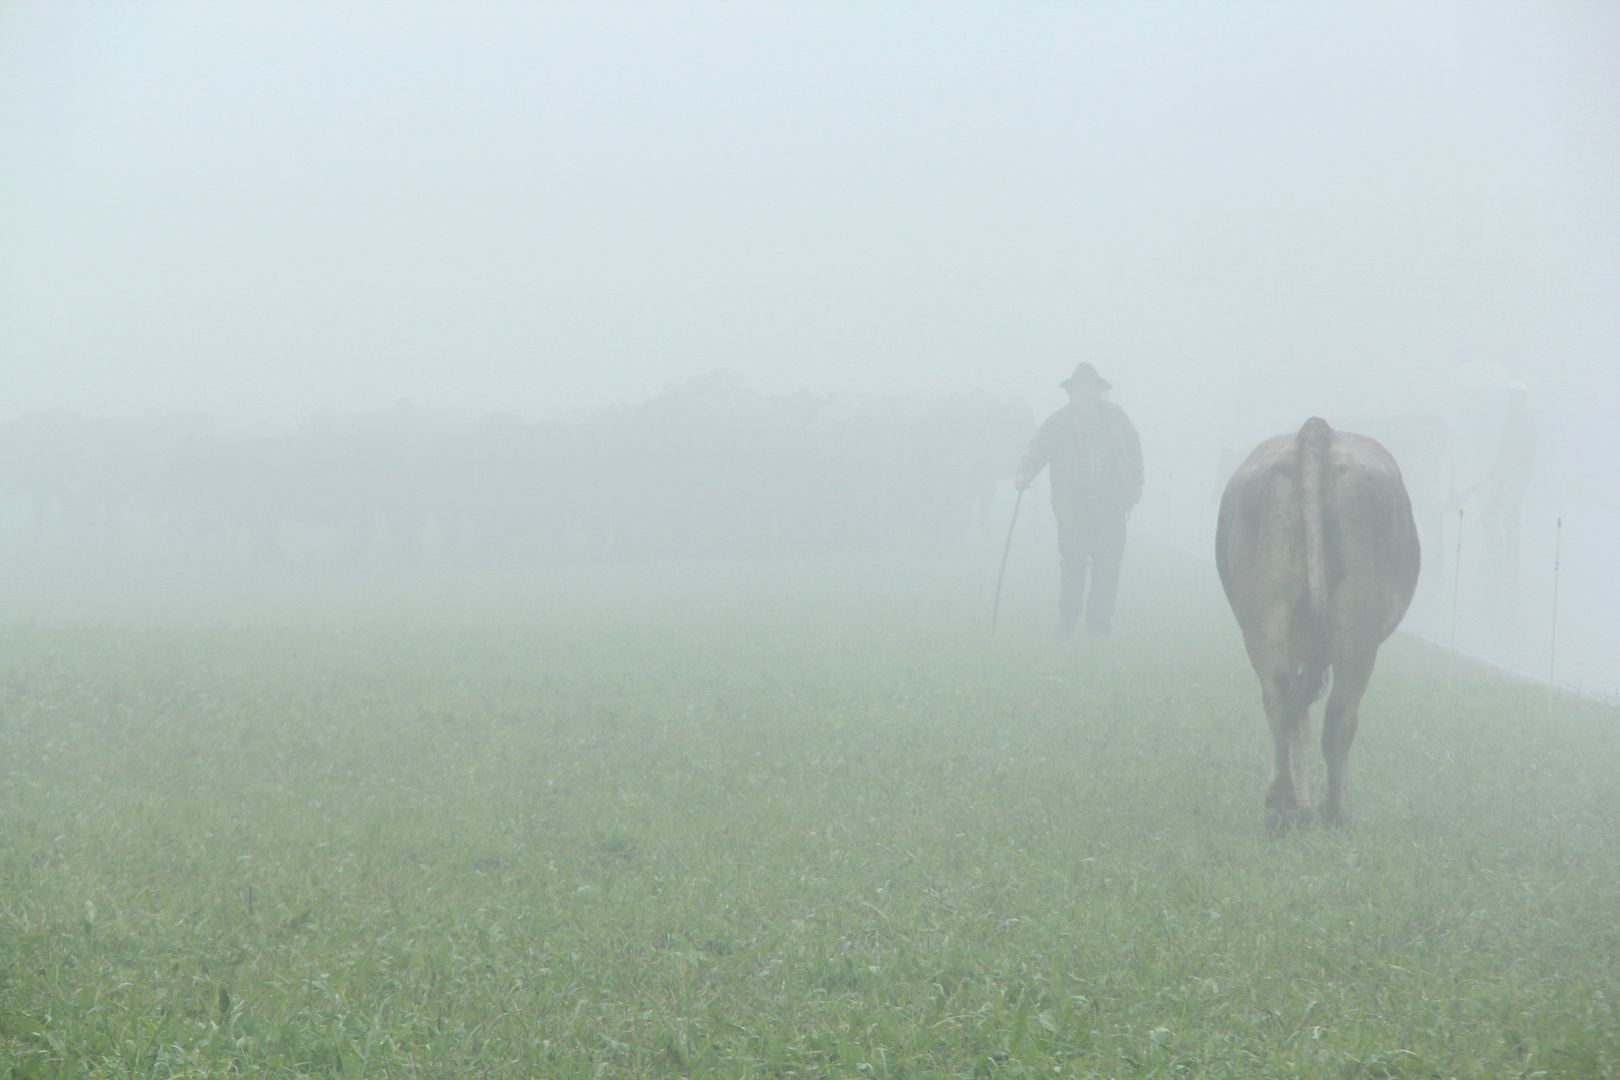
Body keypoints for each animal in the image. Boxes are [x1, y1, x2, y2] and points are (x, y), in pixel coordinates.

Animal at [1218, 417, 1419, 835]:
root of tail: (1314, 431)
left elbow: (1300, 721)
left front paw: (1301, 804)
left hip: (1265, 606)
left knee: (1280, 695)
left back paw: (1280, 807)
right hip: (1357, 621)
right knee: (1341, 713)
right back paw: (1335, 814)